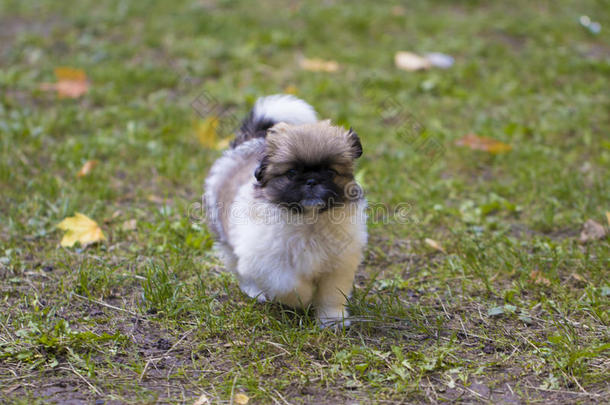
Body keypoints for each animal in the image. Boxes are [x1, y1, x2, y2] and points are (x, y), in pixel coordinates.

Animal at [204, 95, 366, 328]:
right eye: (291, 173)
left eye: (330, 172)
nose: (311, 180)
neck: (309, 222)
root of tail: (248, 141)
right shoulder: (270, 266)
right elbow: (292, 286)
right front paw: (305, 299)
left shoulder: (337, 265)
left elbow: (332, 295)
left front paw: (331, 320)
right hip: (228, 243)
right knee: (241, 271)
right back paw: (255, 291)